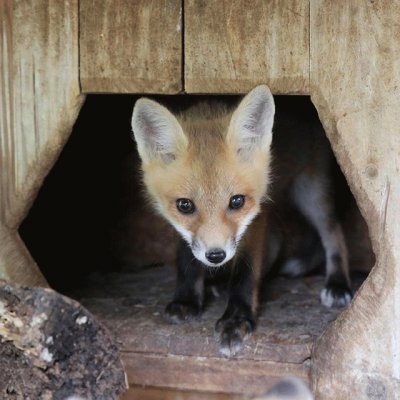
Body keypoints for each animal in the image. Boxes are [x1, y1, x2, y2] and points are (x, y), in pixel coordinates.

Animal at [130, 84, 352, 356]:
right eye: (185, 205)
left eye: (236, 201)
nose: (216, 256)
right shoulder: (180, 226)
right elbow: (186, 258)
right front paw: (186, 299)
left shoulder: (256, 218)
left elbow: (245, 273)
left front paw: (235, 320)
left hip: (311, 193)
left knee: (333, 233)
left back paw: (338, 284)